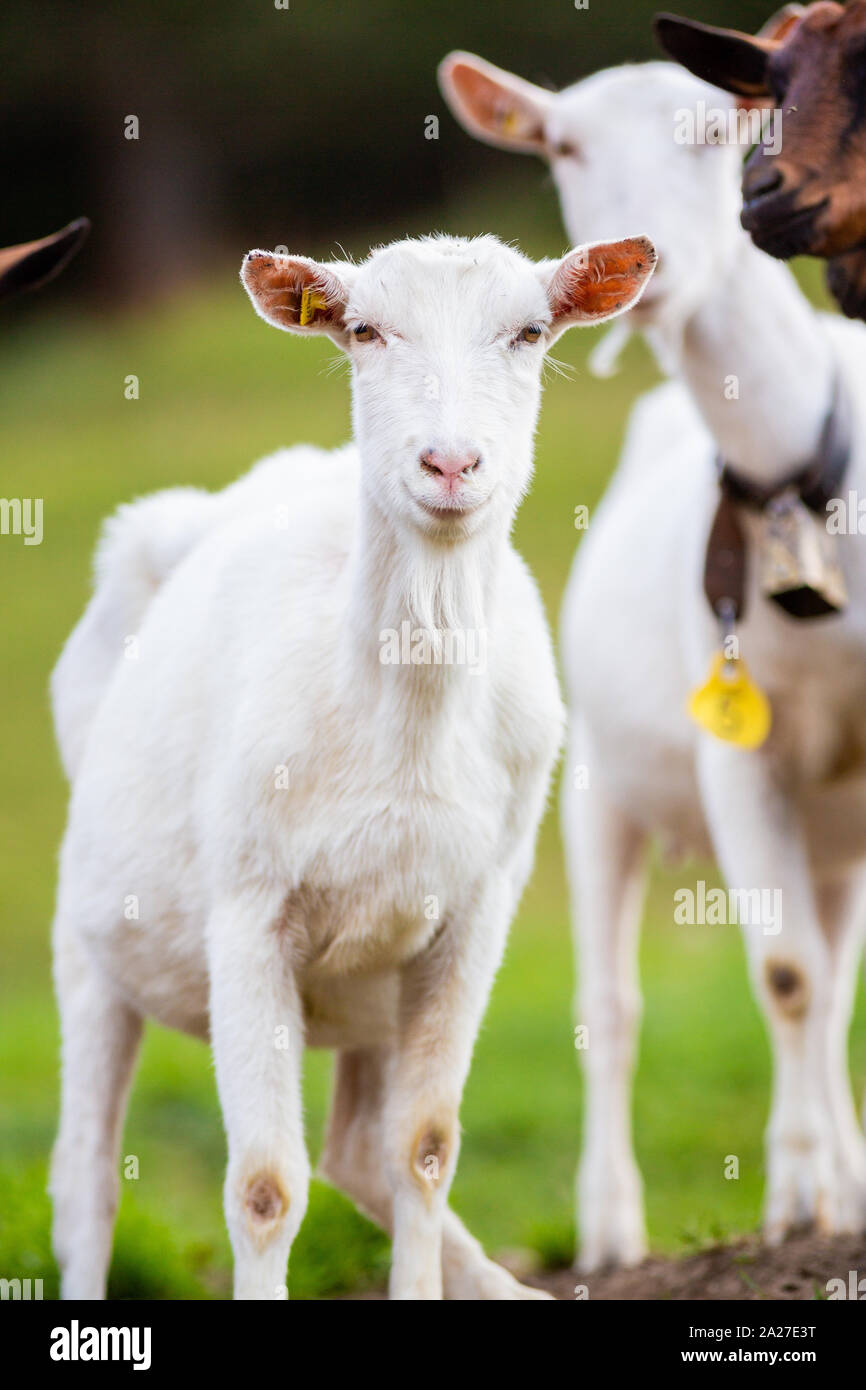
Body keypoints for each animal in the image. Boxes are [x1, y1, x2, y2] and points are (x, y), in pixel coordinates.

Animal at [48, 230, 656, 1301]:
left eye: (531, 331)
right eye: (365, 330)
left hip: (374, 981)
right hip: (85, 937)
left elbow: (424, 1148)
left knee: (361, 1152)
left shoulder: (471, 910)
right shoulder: (247, 909)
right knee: (84, 1180)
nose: (450, 462)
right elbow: (263, 1186)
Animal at [444, 54, 866, 1273]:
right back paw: (610, 1228)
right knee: (618, 1005)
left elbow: (818, 986)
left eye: (716, 133)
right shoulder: (736, 749)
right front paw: (799, 1206)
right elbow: (783, 974)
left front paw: (826, 1193)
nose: (651, 257)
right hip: (594, 789)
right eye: (563, 147)